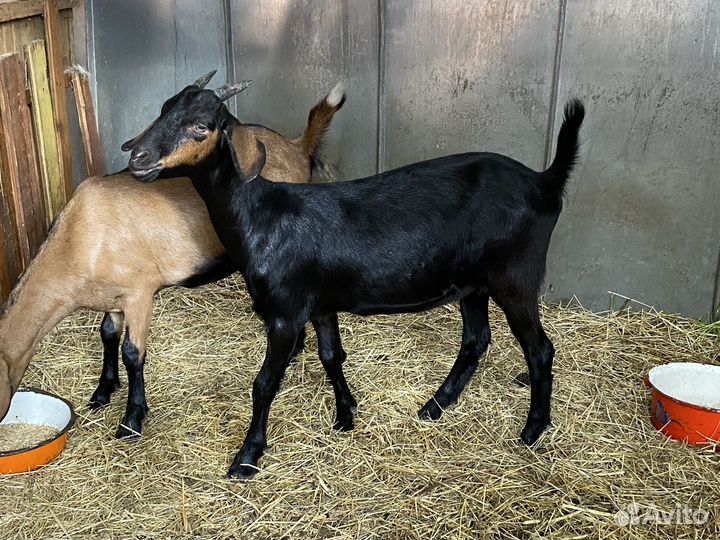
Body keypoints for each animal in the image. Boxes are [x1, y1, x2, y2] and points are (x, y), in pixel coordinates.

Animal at [0, 72, 346, 439]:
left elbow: (132, 353)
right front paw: (103, 392)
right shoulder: (112, 297)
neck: (78, 238)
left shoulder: (139, 294)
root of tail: (297, 146)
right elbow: (107, 335)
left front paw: (132, 419)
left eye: (200, 124)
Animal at [126, 84, 584, 479]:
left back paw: (532, 430)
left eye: (202, 125)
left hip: (515, 276)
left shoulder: (286, 314)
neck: (261, 216)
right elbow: (332, 356)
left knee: (539, 350)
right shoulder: (320, 305)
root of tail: (544, 181)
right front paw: (346, 414)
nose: (138, 159)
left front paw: (247, 457)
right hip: (472, 284)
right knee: (476, 339)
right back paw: (435, 406)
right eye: (164, 109)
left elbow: (264, 384)